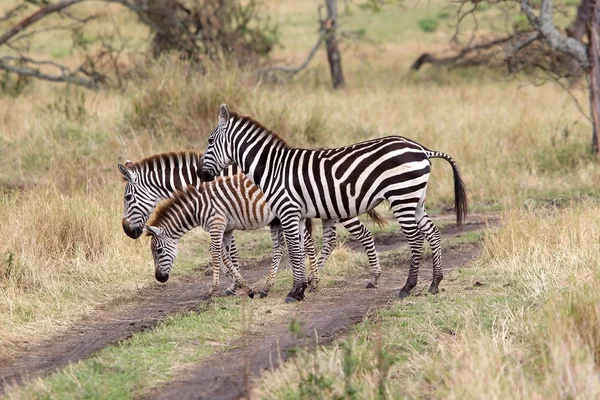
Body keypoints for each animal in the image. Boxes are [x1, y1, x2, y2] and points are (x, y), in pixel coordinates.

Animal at [119, 150, 386, 290]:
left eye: (128, 197)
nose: (128, 232)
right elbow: (228, 250)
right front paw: (234, 283)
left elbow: (229, 251)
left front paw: (232, 285)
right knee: (326, 240)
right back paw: (313, 277)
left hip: (337, 209)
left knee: (362, 234)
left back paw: (371, 277)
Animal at [199, 104, 466, 302]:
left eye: (210, 141)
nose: (201, 175)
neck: (273, 168)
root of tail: (421, 149)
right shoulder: (297, 214)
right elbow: (300, 250)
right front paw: (302, 288)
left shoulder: (288, 211)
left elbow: (294, 251)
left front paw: (295, 292)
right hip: (416, 199)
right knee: (433, 233)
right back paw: (435, 283)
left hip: (402, 197)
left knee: (416, 238)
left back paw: (407, 287)